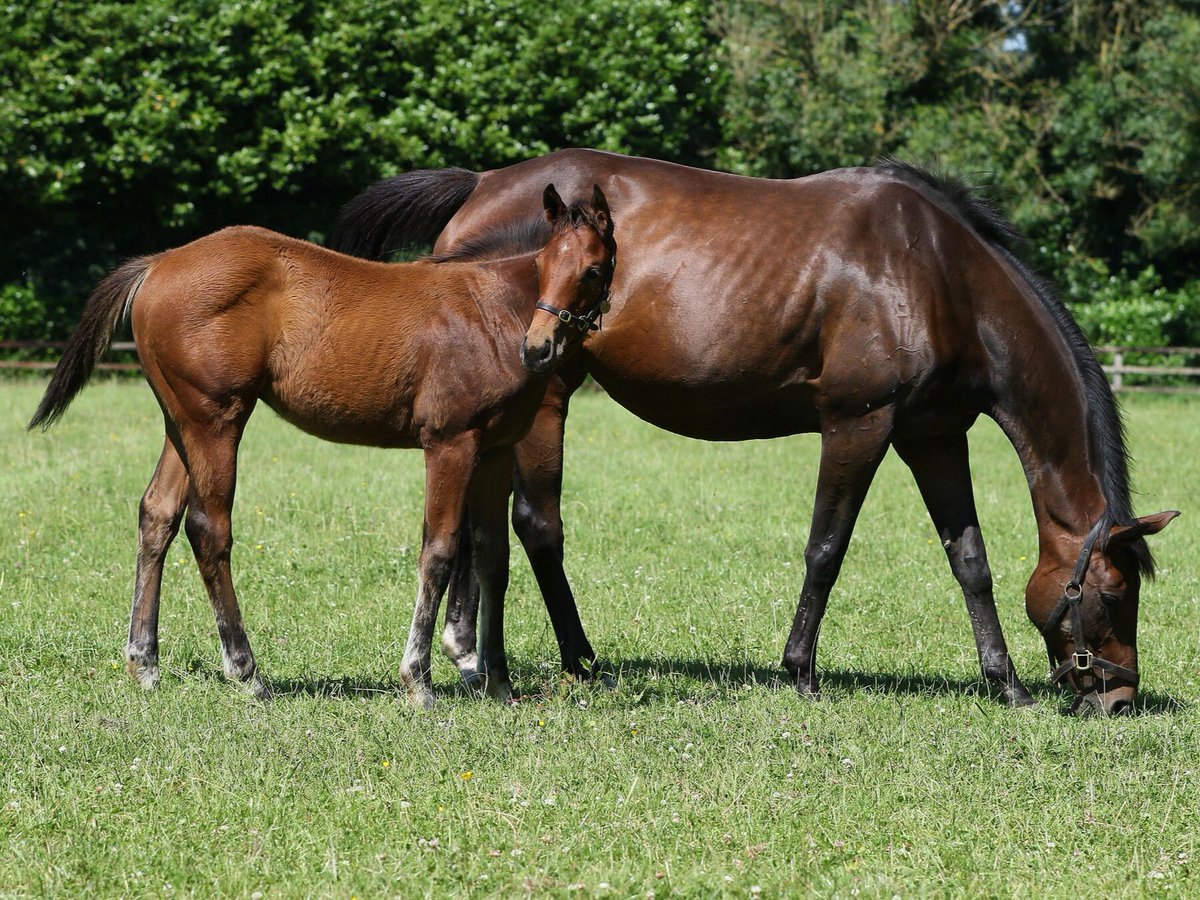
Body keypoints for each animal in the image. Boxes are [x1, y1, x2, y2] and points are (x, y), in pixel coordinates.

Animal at [29, 183, 617, 708]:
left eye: (592, 269)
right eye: (547, 262)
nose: (538, 348)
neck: (491, 307)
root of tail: (158, 263)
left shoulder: (495, 448)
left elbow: (493, 555)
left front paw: (498, 683)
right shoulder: (450, 443)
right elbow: (440, 550)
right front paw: (419, 682)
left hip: (182, 422)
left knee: (158, 514)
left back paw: (144, 663)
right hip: (216, 421)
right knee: (208, 528)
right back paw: (246, 672)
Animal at [332, 149, 1177, 715]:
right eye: (1113, 593)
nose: (1118, 701)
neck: (938, 275)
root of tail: (478, 187)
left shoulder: (934, 436)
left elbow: (969, 558)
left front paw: (1003, 683)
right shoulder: (859, 424)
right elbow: (826, 548)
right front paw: (800, 670)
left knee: (482, 530)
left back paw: (469, 654)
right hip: (546, 403)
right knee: (535, 526)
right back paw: (573, 660)